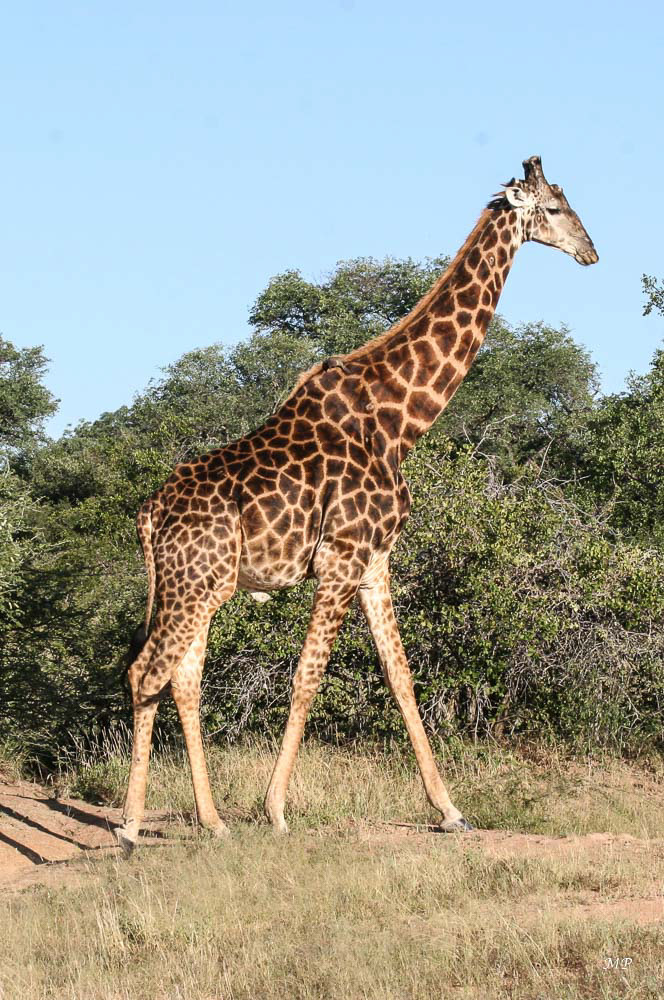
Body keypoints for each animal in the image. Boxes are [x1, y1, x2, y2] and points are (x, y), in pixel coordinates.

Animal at [117, 156, 598, 854]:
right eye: (557, 208)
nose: (592, 251)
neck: (400, 418)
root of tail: (150, 514)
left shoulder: (374, 562)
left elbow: (401, 678)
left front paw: (450, 811)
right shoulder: (341, 558)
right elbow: (306, 678)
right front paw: (275, 809)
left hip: (201, 586)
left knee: (182, 678)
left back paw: (212, 822)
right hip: (194, 583)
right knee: (146, 673)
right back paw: (129, 826)